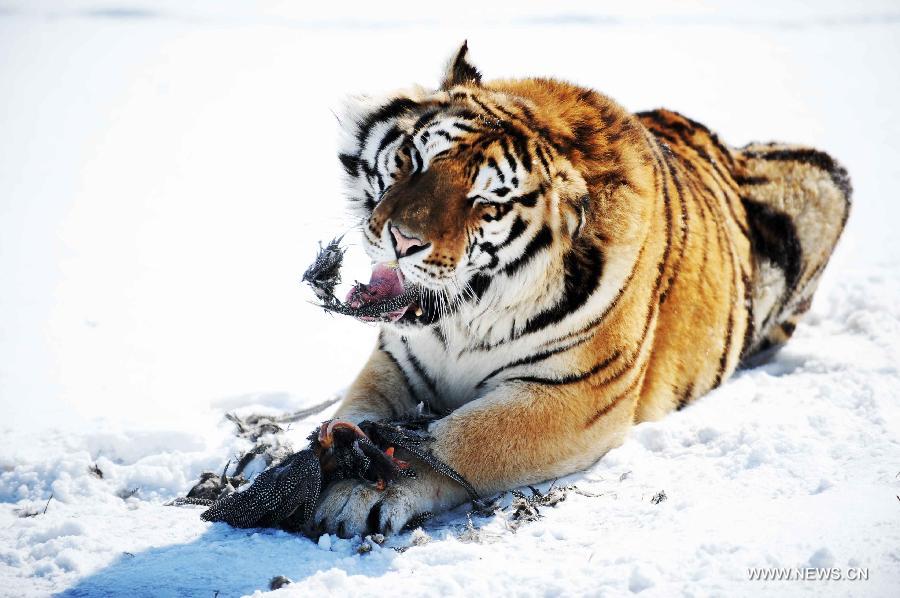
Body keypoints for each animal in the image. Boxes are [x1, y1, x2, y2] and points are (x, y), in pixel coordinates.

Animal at [310, 42, 852, 540]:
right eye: (413, 159)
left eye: (486, 203)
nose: (402, 240)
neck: (469, 316)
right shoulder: (397, 363)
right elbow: (353, 413)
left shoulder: (574, 395)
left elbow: (459, 441)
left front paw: (366, 491)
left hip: (827, 180)